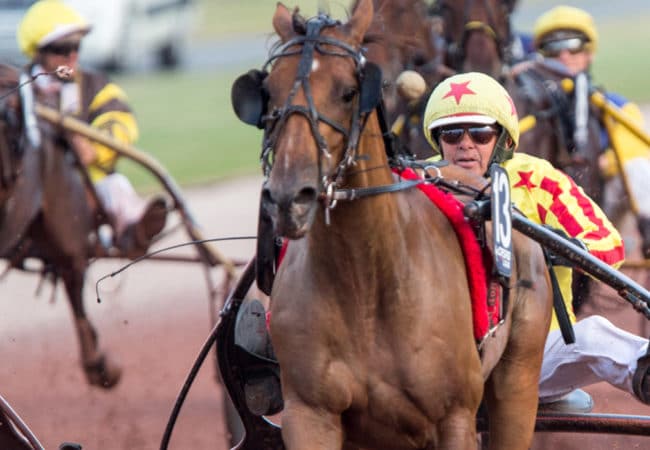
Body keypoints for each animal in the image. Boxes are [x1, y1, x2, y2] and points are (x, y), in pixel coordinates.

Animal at [234, 1, 552, 448]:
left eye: (349, 91)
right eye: (271, 93)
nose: (288, 197)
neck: (366, 283)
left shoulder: (454, 417)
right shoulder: (311, 414)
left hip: (517, 379)